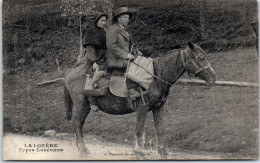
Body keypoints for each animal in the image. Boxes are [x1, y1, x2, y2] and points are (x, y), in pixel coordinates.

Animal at [64, 41, 216, 159]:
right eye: (201, 57)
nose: (213, 77)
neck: (155, 76)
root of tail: (70, 73)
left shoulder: (158, 107)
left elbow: (160, 129)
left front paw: (163, 152)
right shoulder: (142, 108)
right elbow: (139, 129)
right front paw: (139, 153)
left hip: (86, 106)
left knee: (79, 125)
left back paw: (82, 149)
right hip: (81, 105)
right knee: (77, 125)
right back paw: (82, 150)